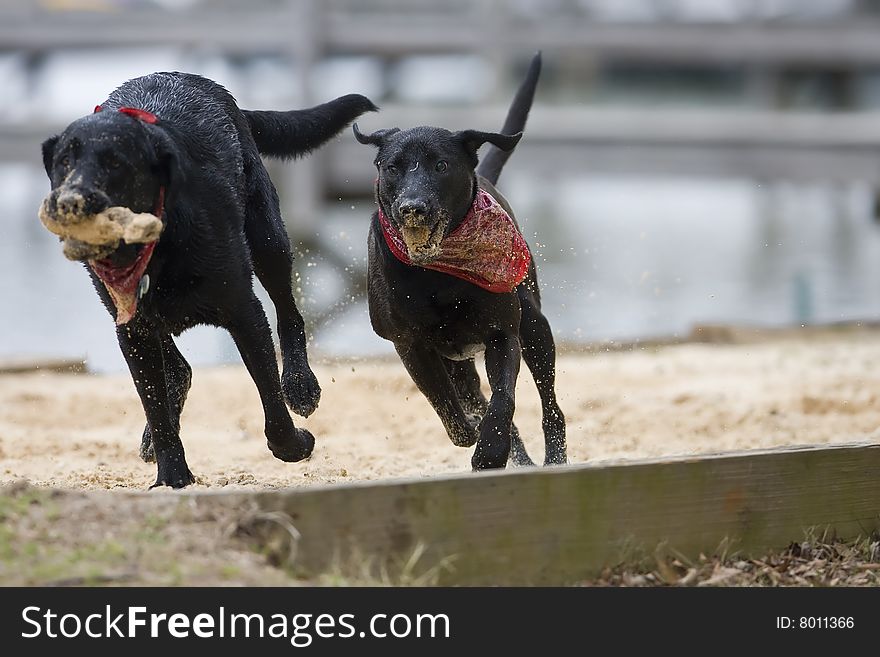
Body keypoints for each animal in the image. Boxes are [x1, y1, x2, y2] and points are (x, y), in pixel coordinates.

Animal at [40, 74, 374, 490]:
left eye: (115, 162)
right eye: (64, 161)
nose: (71, 201)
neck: (158, 246)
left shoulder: (245, 313)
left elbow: (272, 405)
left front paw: (295, 444)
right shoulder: (133, 332)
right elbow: (156, 408)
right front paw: (172, 477)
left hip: (268, 238)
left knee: (289, 313)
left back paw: (300, 384)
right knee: (178, 372)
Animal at [354, 52, 568, 472]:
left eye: (441, 166)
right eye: (392, 167)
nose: (412, 207)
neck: (437, 272)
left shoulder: (504, 334)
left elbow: (503, 401)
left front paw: (489, 452)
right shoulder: (411, 344)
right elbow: (444, 399)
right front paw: (471, 436)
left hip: (535, 327)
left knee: (550, 404)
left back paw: (554, 458)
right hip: (460, 359)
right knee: (468, 395)